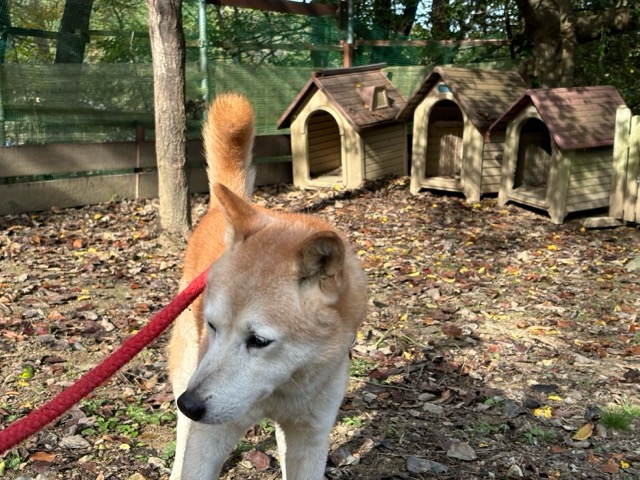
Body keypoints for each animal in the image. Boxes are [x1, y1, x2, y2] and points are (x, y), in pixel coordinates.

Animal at [168, 93, 367, 479]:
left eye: (259, 341)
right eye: (212, 325)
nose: (190, 405)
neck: (282, 388)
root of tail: (220, 206)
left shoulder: (311, 435)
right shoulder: (208, 436)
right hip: (186, 366)